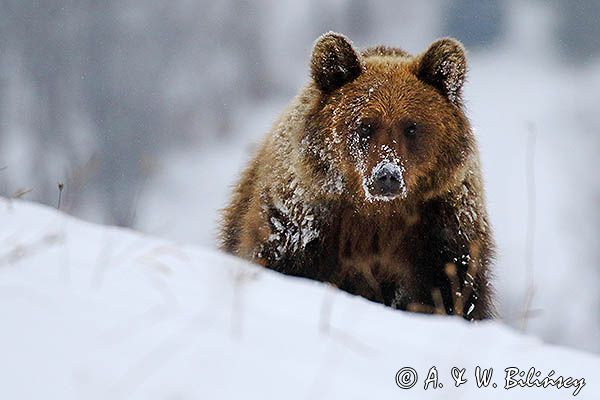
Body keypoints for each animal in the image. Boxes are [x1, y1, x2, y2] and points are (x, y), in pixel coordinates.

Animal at [218, 31, 494, 320]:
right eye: (365, 125)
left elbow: (453, 296)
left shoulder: (441, 235)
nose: (387, 176)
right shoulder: (301, 227)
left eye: (411, 127)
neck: (375, 214)